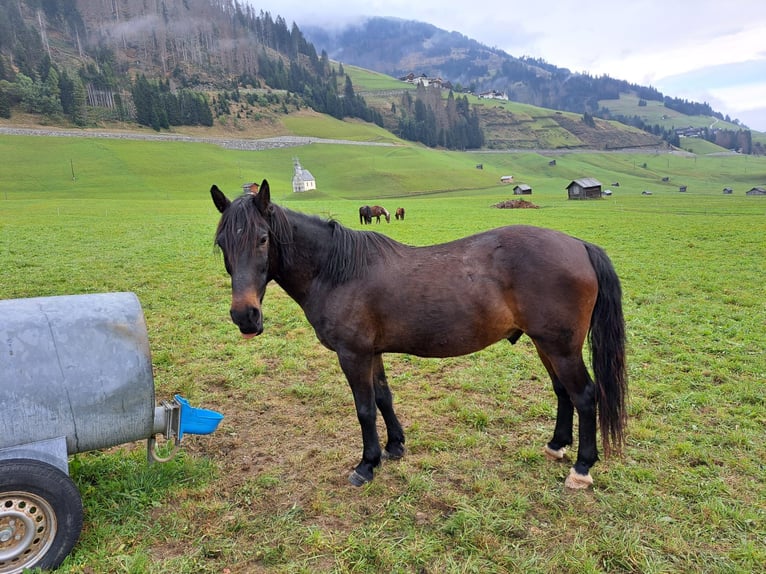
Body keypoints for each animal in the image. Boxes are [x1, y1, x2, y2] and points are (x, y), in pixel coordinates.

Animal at [212, 180, 632, 490]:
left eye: (263, 238)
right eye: (222, 243)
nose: (245, 316)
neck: (337, 271)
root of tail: (579, 245)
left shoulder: (353, 354)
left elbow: (364, 408)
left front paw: (367, 464)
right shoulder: (371, 353)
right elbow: (383, 397)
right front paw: (395, 447)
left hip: (561, 347)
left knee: (585, 395)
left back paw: (581, 468)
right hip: (547, 344)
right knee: (563, 392)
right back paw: (557, 446)